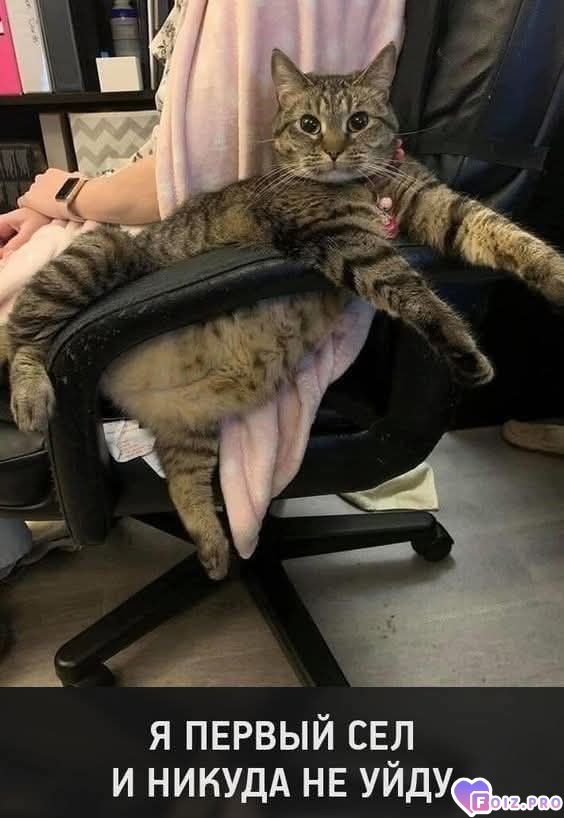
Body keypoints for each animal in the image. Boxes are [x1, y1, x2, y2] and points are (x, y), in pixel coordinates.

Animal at [5, 43, 564, 579]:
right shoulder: (346, 242)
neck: (369, 187)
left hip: (190, 426)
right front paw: (464, 348)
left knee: (181, 478)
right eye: (309, 124)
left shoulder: (438, 206)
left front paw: (555, 273)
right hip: (99, 256)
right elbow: (413, 290)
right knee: (21, 333)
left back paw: (214, 550)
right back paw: (30, 396)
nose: (334, 148)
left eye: (358, 120)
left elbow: (501, 231)